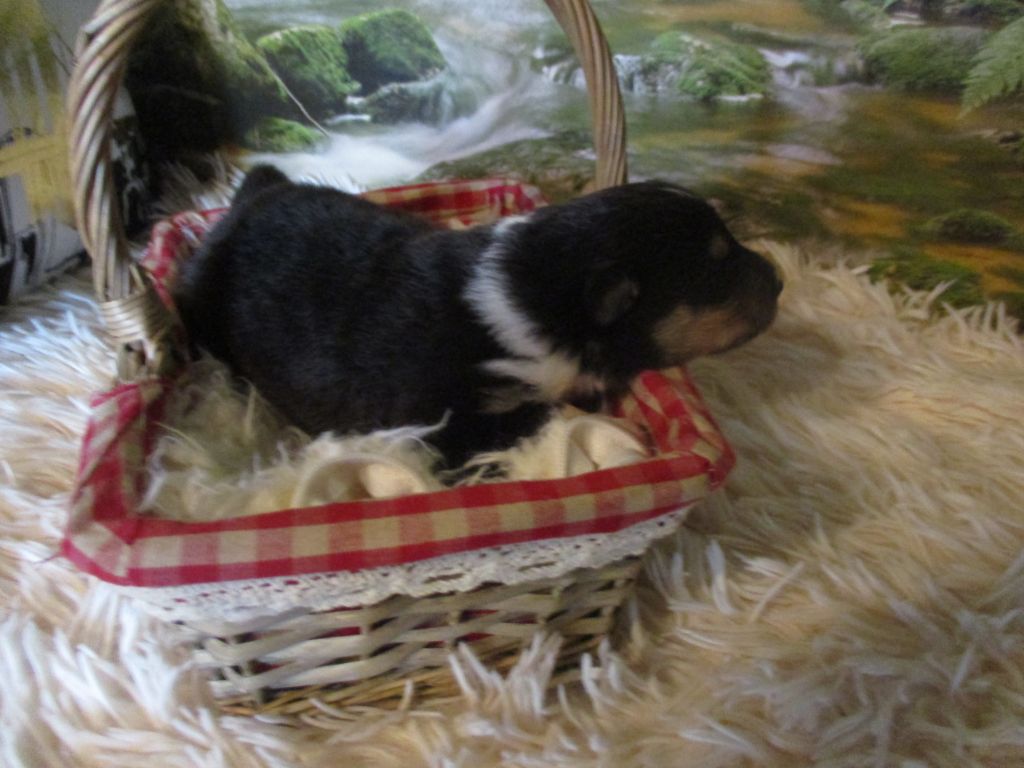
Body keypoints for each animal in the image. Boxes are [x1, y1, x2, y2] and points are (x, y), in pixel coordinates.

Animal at [174, 165, 781, 467]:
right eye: (718, 267)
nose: (780, 280)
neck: (534, 295)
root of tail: (254, 192)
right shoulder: (448, 422)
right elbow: (541, 416)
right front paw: (616, 429)